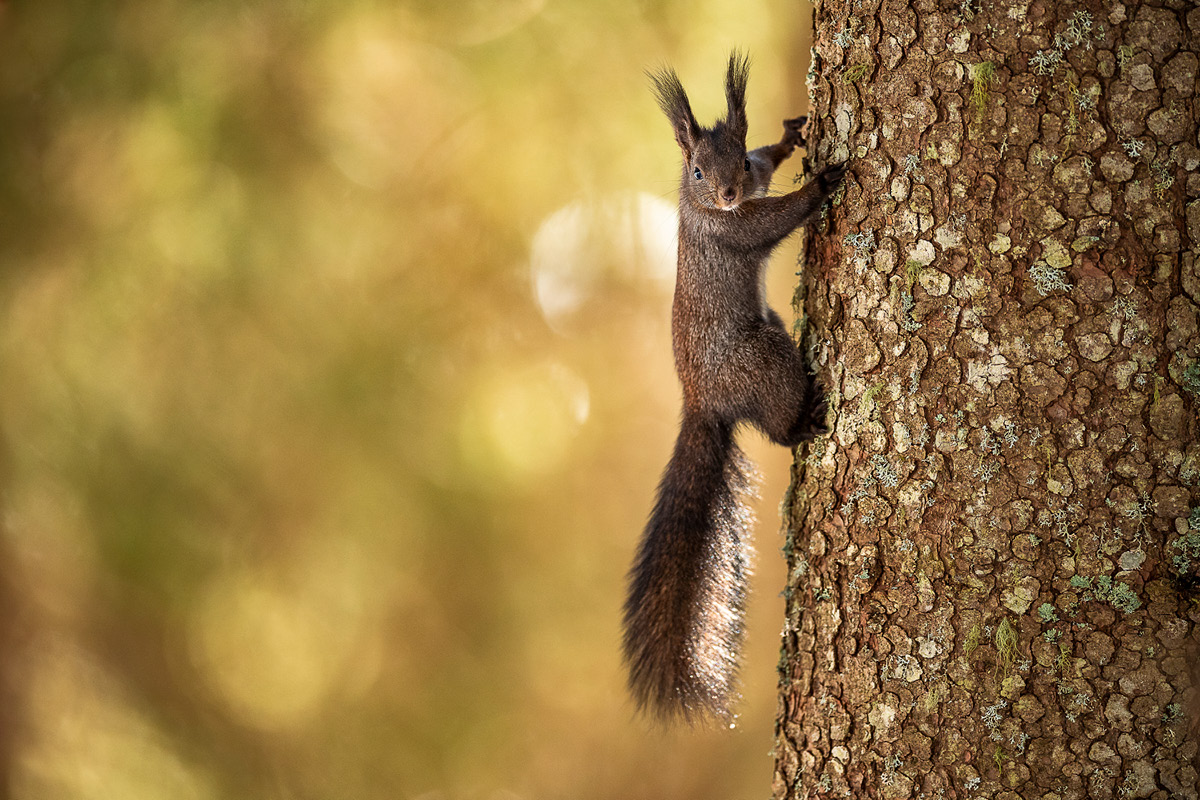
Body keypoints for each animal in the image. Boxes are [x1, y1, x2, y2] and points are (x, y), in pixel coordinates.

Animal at [622, 51, 846, 722]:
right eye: (697, 169)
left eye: (740, 159)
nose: (725, 192)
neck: (705, 206)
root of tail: (705, 403)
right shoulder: (729, 228)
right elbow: (770, 219)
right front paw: (820, 184)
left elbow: (771, 173)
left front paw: (791, 138)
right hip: (762, 360)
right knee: (774, 427)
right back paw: (803, 420)